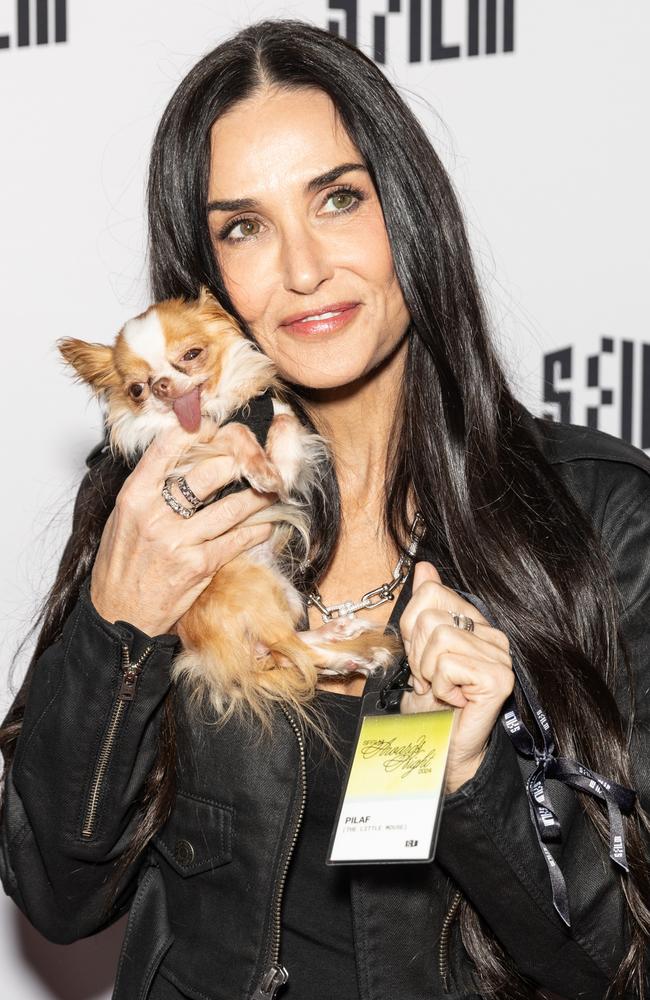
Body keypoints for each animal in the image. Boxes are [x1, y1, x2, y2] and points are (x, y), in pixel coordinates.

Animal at [58, 286, 400, 732]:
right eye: (136, 390)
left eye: (191, 355)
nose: (161, 386)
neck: (212, 409)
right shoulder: (190, 452)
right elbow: (234, 431)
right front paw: (258, 466)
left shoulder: (279, 421)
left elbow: (283, 426)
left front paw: (274, 468)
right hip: (256, 592)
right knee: (291, 653)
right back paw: (348, 657)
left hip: (284, 594)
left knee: (286, 650)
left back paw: (342, 639)